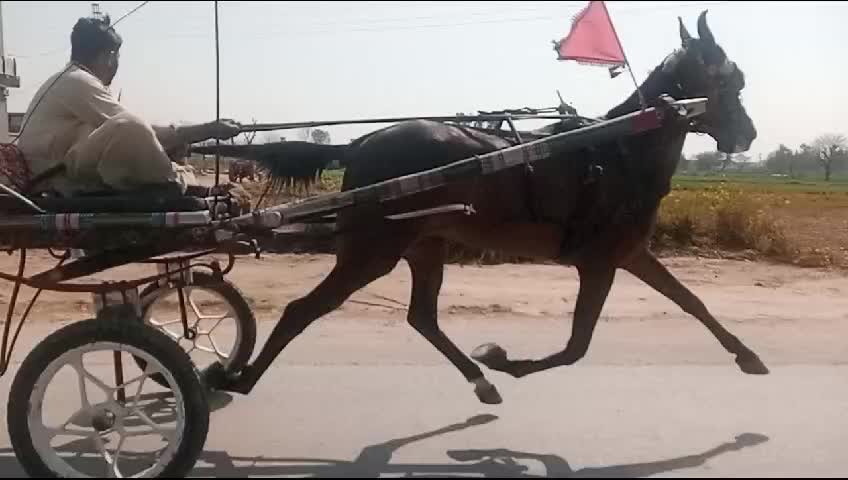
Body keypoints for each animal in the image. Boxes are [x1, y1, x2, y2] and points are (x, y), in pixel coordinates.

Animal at [203, 11, 767, 405]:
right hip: (373, 248)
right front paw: (505, 360)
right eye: (730, 80)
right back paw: (241, 378)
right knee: (303, 310)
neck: (620, 150)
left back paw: (478, 382)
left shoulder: (629, 253)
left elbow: (692, 302)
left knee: (422, 318)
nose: (748, 134)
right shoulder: (600, 261)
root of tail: (361, 144)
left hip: (424, 243)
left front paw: (748, 355)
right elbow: (577, 346)